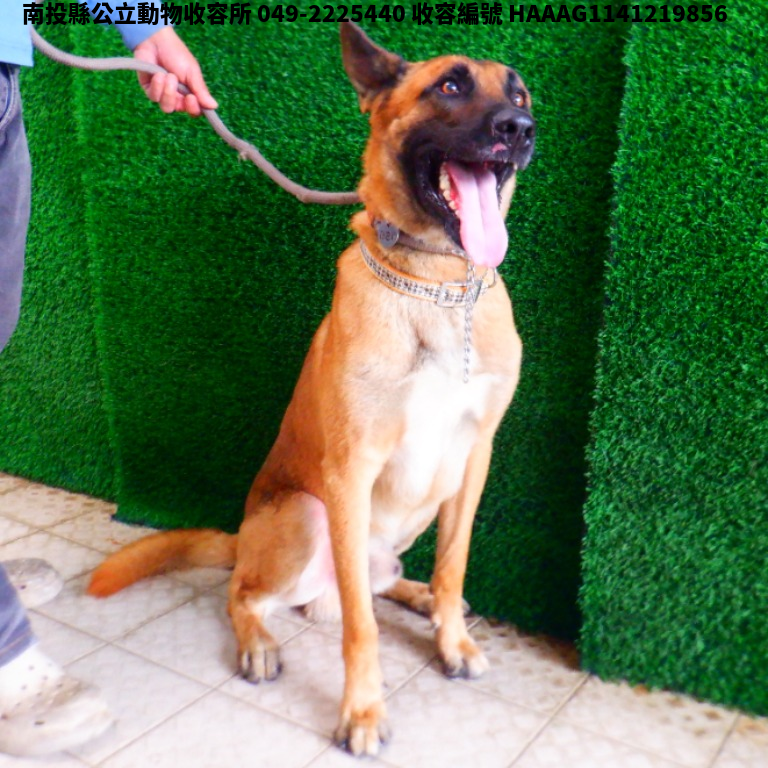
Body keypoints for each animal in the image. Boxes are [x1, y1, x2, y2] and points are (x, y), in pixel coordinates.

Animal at [88, 22, 534, 757]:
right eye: (450, 86)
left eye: (519, 93)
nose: (519, 129)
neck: (437, 287)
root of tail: (242, 538)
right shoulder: (350, 472)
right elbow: (360, 625)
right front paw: (362, 711)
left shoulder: (476, 457)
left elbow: (453, 565)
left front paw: (449, 636)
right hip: (304, 514)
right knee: (247, 593)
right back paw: (260, 642)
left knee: (384, 582)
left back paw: (420, 598)